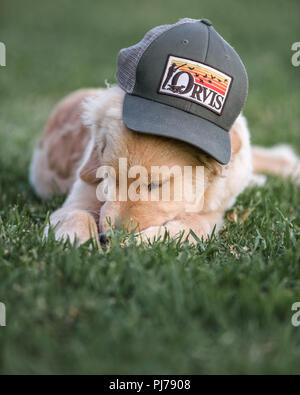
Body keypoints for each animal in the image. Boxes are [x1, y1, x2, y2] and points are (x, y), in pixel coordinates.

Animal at [29, 87, 298, 248]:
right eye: (108, 178)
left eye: (154, 185)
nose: (108, 239)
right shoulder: (78, 197)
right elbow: (76, 215)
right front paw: (77, 242)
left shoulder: (212, 211)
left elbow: (188, 227)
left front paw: (137, 242)